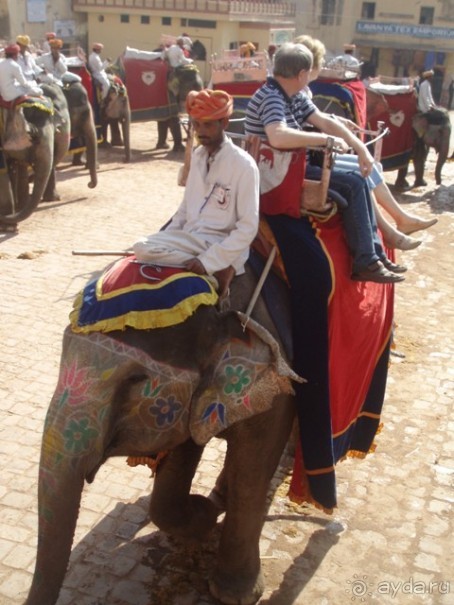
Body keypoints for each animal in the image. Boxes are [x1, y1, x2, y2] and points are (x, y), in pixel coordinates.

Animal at [24, 272, 302, 604]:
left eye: (135, 379)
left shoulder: (275, 383)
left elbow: (254, 467)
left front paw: (235, 594)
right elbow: (180, 456)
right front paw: (205, 514)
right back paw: (220, 495)